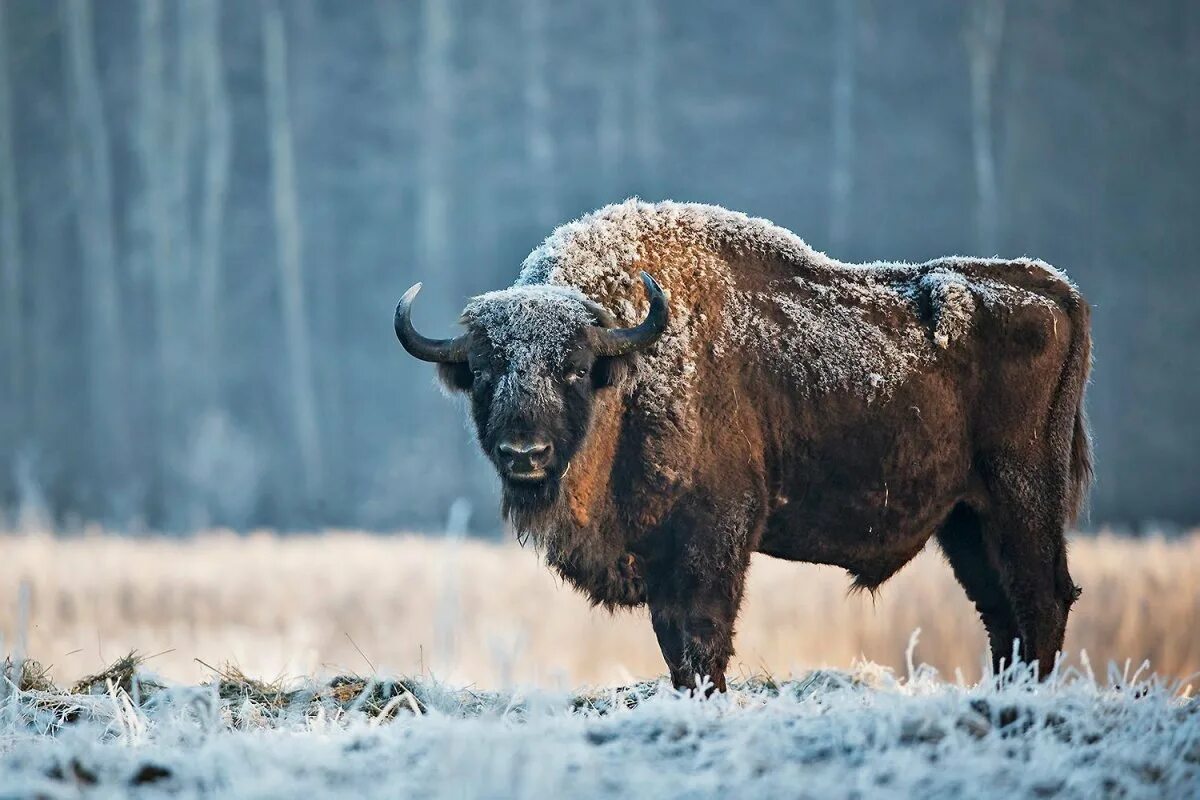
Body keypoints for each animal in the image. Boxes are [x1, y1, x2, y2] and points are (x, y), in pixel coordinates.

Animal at [393, 201, 1089, 695]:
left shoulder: (715, 538)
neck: (631, 364)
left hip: (1021, 498)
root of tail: (1054, 289)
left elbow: (703, 640)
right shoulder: (659, 558)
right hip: (965, 520)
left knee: (1041, 601)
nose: (524, 453)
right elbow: (674, 647)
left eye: (574, 368)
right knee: (1002, 614)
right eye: (485, 370)